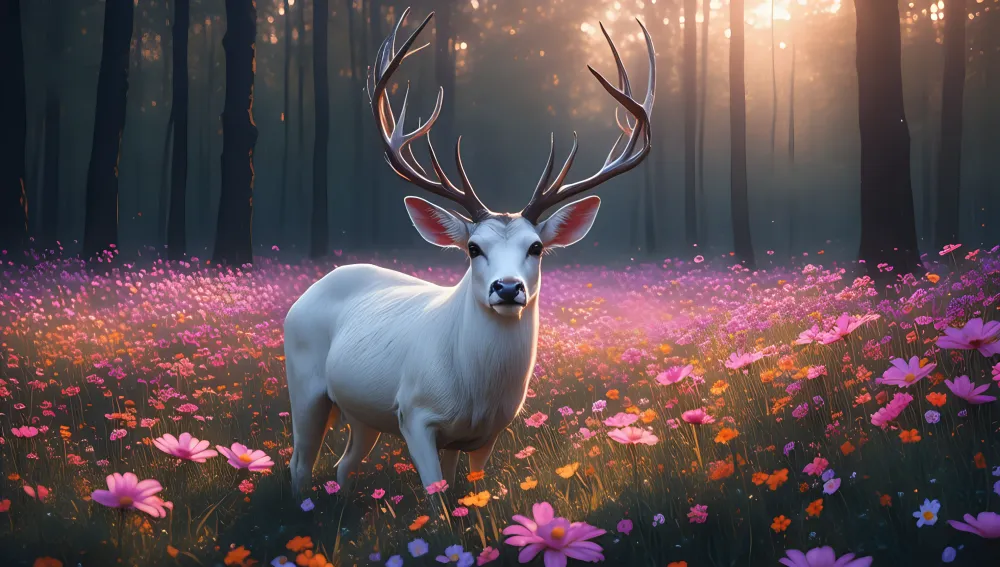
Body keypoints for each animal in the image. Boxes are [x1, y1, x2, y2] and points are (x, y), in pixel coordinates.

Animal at [284, 7, 655, 496]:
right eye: (473, 248)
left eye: (537, 246)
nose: (507, 288)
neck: (475, 393)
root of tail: (314, 286)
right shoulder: (414, 414)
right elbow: (436, 498)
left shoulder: (486, 434)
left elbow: (471, 494)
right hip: (304, 384)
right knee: (299, 464)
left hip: (363, 411)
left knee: (344, 465)